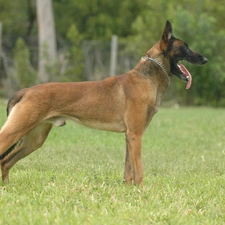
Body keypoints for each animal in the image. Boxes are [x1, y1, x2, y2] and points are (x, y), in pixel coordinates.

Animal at [0, 20, 207, 185]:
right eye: (186, 47)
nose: (205, 59)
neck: (147, 76)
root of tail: (25, 91)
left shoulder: (129, 137)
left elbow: (128, 171)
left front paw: (129, 192)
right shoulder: (136, 135)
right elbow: (139, 171)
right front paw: (142, 192)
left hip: (34, 140)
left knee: (5, 162)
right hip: (15, 132)